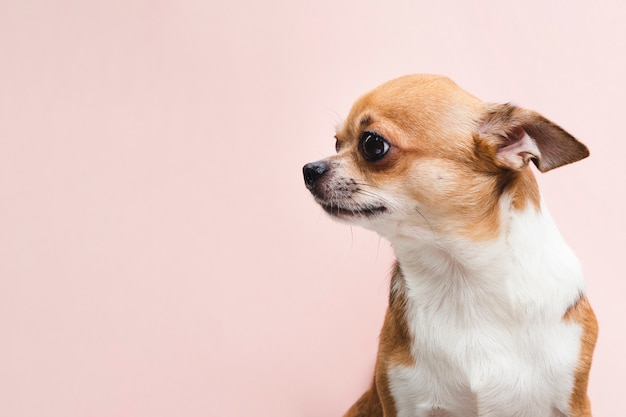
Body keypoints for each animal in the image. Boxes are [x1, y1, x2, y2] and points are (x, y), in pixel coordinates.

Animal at [302, 75, 596, 416]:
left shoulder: (572, 401)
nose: (309, 169)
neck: (461, 279)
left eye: (373, 145)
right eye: (336, 143)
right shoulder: (403, 400)